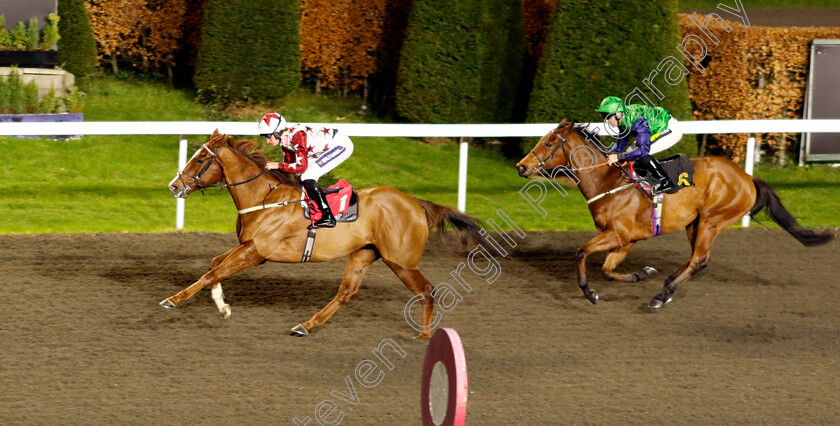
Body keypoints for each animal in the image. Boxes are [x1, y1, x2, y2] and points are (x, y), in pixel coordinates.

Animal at [166, 128, 498, 338]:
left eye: (200, 159)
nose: (174, 186)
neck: (264, 197)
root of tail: (416, 202)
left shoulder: (256, 251)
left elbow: (212, 272)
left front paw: (173, 299)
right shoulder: (249, 246)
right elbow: (214, 266)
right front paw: (223, 307)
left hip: (401, 261)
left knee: (427, 291)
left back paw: (424, 336)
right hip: (364, 254)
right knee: (347, 292)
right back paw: (305, 325)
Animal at [516, 121, 832, 308]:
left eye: (548, 143)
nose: (521, 166)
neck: (606, 181)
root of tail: (748, 178)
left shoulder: (616, 234)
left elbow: (581, 252)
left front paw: (589, 292)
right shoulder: (626, 240)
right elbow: (607, 269)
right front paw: (641, 273)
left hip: (712, 220)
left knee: (700, 260)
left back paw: (661, 295)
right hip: (695, 223)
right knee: (697, 259)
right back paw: (667, 282)